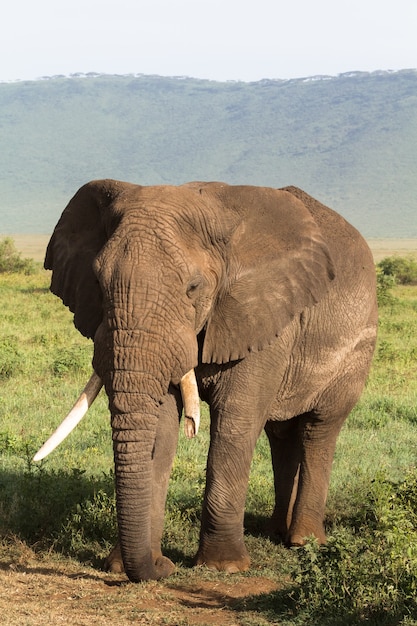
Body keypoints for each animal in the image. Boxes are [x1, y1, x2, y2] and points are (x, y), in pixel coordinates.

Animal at [34, 179, 376, 580]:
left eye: (193, 288)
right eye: (100, 284)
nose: (163, 569)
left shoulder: (265, 315)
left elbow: (236, 421)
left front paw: (224, 566)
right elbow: (161, 424)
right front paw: (124, 566)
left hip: (357, 344)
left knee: (318, 430)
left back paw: (303, 541)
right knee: (281, 434)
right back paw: (275, 532)